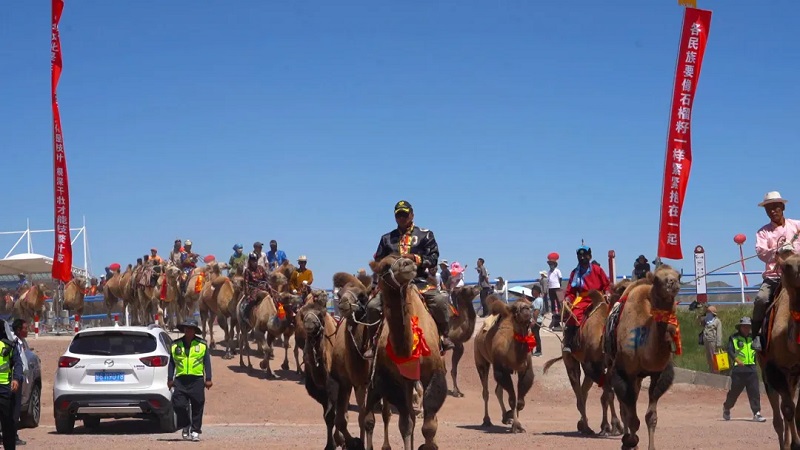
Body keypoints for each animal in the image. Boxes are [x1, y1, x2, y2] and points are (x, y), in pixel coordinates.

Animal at [363, 254, 448, 450]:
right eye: (384, 265)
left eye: (408, 258)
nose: (408, 264)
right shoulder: (394, 380)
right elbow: (405, 424)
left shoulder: (434, 372)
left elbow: (429, 425)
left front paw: (429, 445)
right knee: (379, 416)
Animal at [474, 296, 536, 433]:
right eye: (515, 308)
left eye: (530, 305)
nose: (526, 310)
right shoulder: (501, 370)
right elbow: (512, 400)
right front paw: (516, 425)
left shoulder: (525, 370)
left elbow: (520, 402)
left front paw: (514, 421)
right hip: (481, 361)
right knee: (486, 392)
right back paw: (487, 420)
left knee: (498, 390)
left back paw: (505, 417)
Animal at [543, 288, 623, 436]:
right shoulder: (592, 367)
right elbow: (608, 394)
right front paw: (615, 425)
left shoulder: (607, 368)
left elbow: (606, 396)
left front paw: (606, 427)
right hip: (571, 364)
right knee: (579, 395)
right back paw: (586, 427)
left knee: (583, 394)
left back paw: (583, 425)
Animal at [605, 264, 681, 450]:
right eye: (657, 279)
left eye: (679, 275)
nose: (672, 283)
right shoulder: (624, 373)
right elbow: (632, 417)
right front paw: (630, 442)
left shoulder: (658, 373)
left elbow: (651, 417)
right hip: (614, 366)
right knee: (623, 407)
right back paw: (626, 438)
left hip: (639, 378)